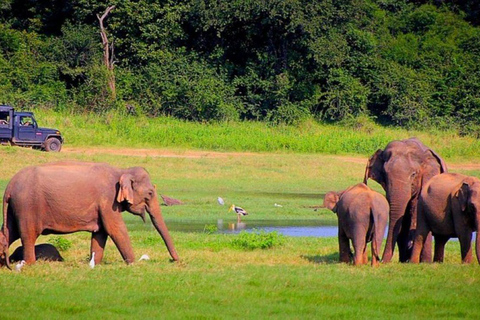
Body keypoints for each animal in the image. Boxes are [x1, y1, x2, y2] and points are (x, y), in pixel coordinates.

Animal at [0, 160, 180, 268]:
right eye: (150, 193)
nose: (175, 260)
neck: (121, 170)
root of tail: (9, 187)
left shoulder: (102, 206)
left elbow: (100, 233)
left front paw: (96, 264)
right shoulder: (108, 200)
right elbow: (115, 229)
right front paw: (133, 263)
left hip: (15, 208)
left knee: (8, 232)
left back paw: (2, 263)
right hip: (27, 207)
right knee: (28, 234)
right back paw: (30, 264)